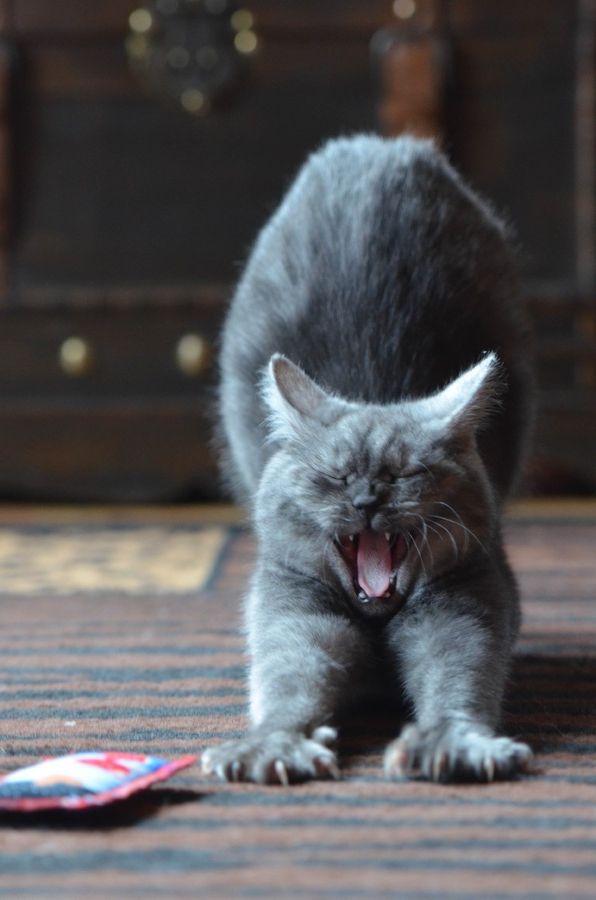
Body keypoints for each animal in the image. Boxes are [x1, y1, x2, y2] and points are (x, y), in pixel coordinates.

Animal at [204, 135, 536, 788]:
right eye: (332, 477)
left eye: (407, 474)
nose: (365, 497)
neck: (378, 619)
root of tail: (382, 145)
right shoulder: (293, 605)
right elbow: (291, 679)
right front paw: (270, 747)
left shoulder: (465, 599)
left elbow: (460, 672)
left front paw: (452, 745)